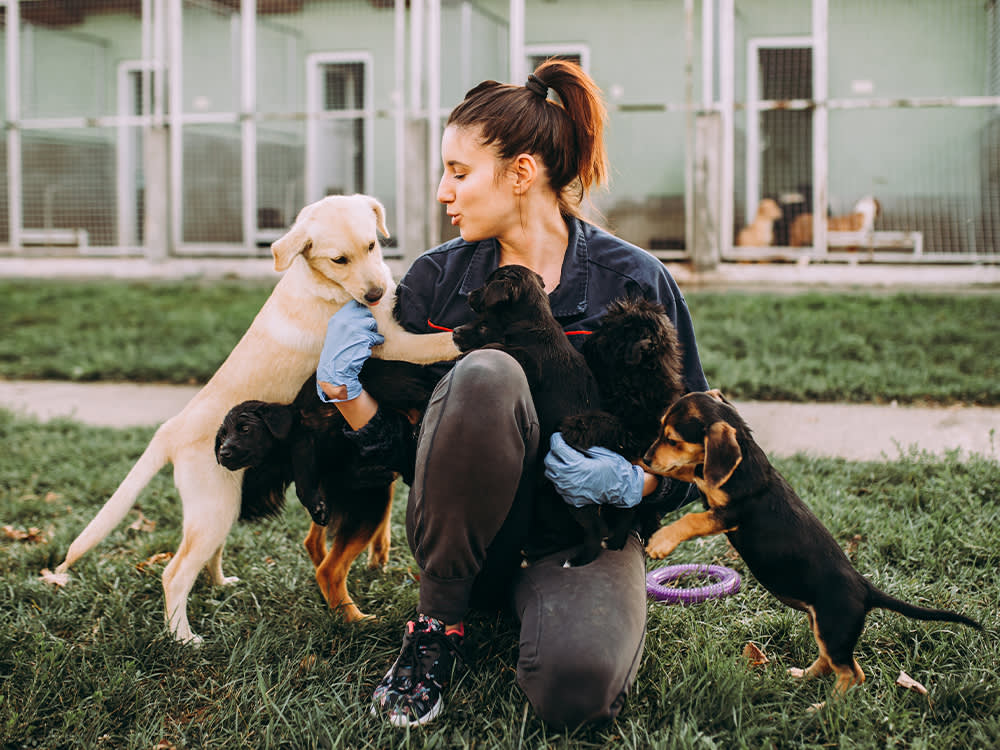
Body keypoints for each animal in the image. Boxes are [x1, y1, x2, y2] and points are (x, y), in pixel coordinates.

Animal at [54, 194, 458, 648]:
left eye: (372, 245)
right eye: (339, 259)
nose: (375, 294)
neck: (322, 285)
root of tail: (171, 429)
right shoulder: (392, 343)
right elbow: (438, 341)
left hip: (224, 505)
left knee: (207, 555)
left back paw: (219, 583)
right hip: (214, 506)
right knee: (175, 573)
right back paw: (184, 638)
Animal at [454, 268, 600, 568]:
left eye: (486, 285)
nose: (469, 293)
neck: (532, 320)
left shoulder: (530, 362)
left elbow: (500, 346)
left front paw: (473, 350)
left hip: (573, 495)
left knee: (591, 531)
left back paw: (574, 558)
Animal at [560, 300, 684, 560]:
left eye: (609, 336)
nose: (586, 344)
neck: (633, 382)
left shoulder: (641, 434)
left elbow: (614, 422)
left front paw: (578, 424)